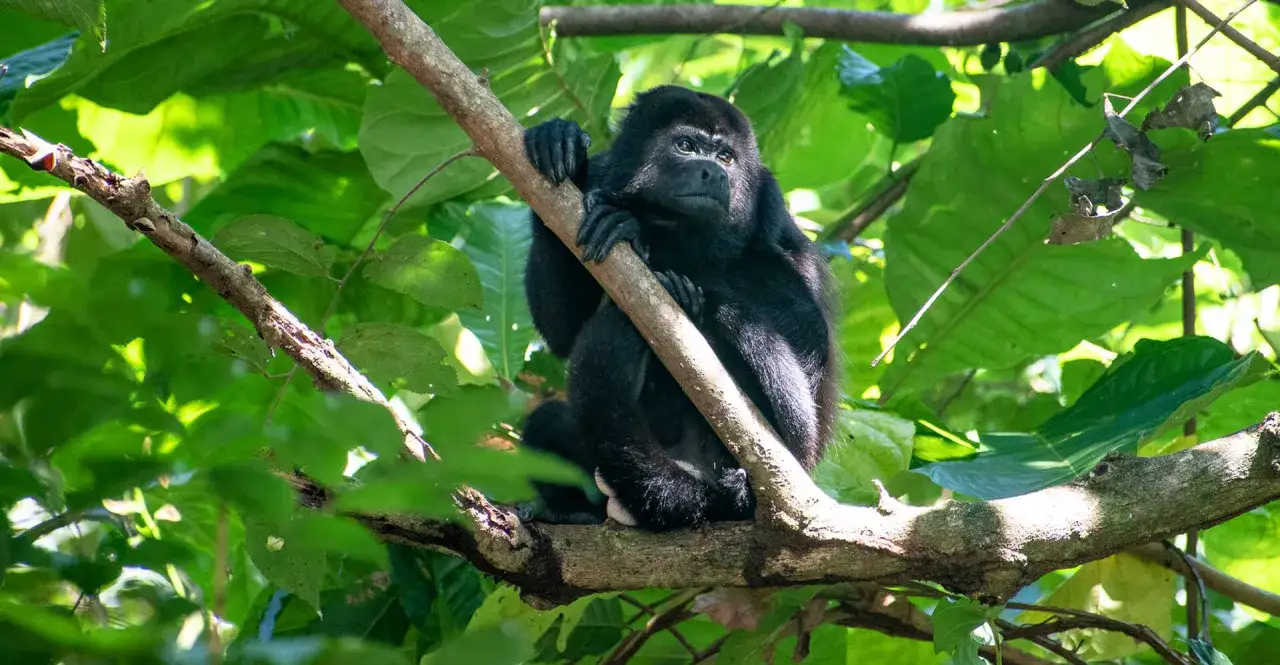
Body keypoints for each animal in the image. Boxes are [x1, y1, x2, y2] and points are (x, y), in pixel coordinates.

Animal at [516, 85, 838, 531]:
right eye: (685, 146)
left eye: (726, 157)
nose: (714, 173)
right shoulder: (605, 173)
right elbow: (562, 330)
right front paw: (563, 146)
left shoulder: (770, 203)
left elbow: (809, 328)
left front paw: (635, 231)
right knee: (546, 423)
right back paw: (572, 511)